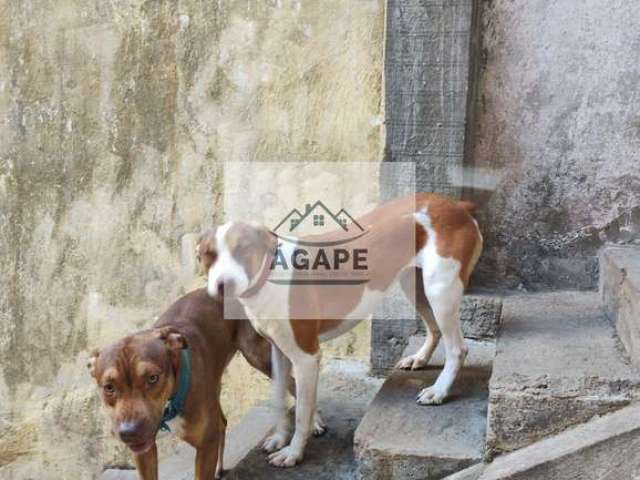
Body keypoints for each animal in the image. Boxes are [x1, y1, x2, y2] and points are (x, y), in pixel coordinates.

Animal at [88, 288, 272, 480]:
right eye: (109, 387)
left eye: (152, 378)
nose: (129, 432)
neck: (170, 403)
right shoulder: (144, 453)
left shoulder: (206, 446)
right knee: (221, 421)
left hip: (258, 355)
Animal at [198, 193, 482, 466]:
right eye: (208, 255)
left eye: (243, 249)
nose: (223, 285)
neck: (267, 277)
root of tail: (455, 205)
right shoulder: (278, 351)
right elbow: (279, 399)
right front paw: (279, 438)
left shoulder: (306, 358)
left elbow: (302, 412)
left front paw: (294, 453)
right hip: (415, 286)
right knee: (434, 329)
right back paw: (420, 359)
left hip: (440, 290)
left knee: (458, 348)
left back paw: (439, 390)